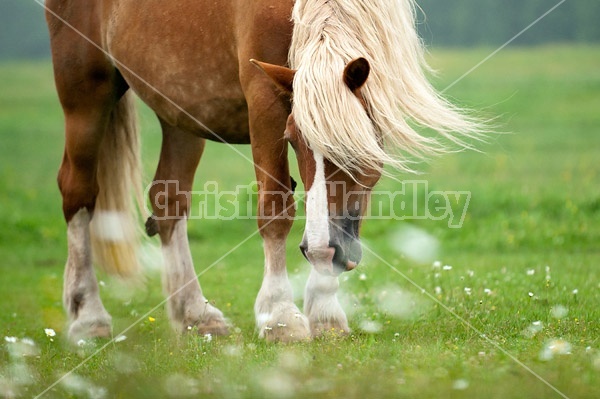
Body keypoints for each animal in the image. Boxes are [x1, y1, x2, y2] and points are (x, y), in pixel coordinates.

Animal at [44, 0, 480, 344]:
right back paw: (88, 317)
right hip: (85, 91)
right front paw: (281, 316)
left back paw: (195, 314)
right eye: (292, 138)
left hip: (180, 112)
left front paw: (325, 311)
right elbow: (275, 211)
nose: (323, 252)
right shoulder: (265, 98)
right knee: (78, 193)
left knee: (169, 201)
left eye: (360, 139)